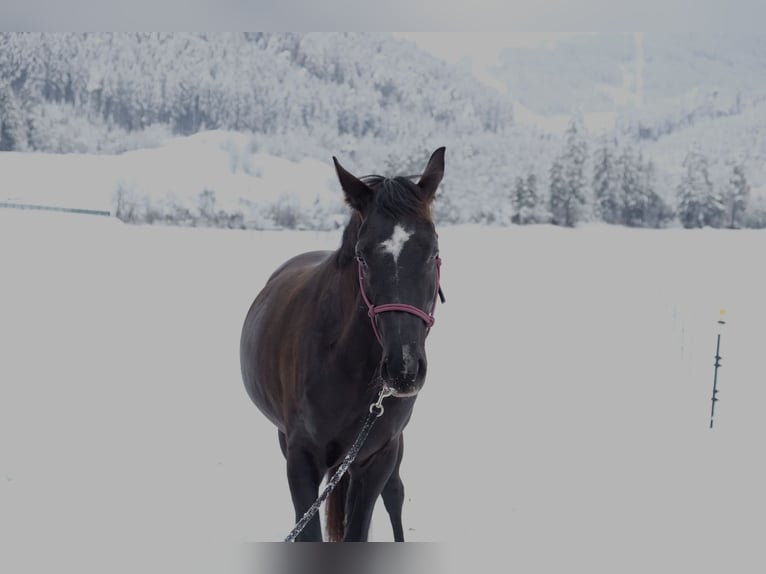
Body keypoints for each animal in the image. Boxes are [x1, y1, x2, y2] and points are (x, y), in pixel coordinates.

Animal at [240, 147, 445, 542]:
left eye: (433, 252)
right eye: (362, 256)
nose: (404, 369)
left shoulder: (377, 457)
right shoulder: (301, 457)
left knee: (395, 494)